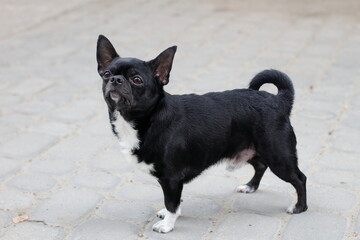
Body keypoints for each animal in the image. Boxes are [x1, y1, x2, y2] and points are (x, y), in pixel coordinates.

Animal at [97, 35, 308, 232]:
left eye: (137, 80)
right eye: (106, 74)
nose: (115, 79)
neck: (149, 119)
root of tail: (278, 100)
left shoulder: (171, 178)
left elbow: (171, 202)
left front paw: (167, 225)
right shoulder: (172, 181)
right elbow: (174, 201)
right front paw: (169, 216)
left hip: (278, 157)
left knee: (299, 179)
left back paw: (300, 207)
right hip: (251, 149)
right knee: (261, 165)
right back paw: (250, 186)